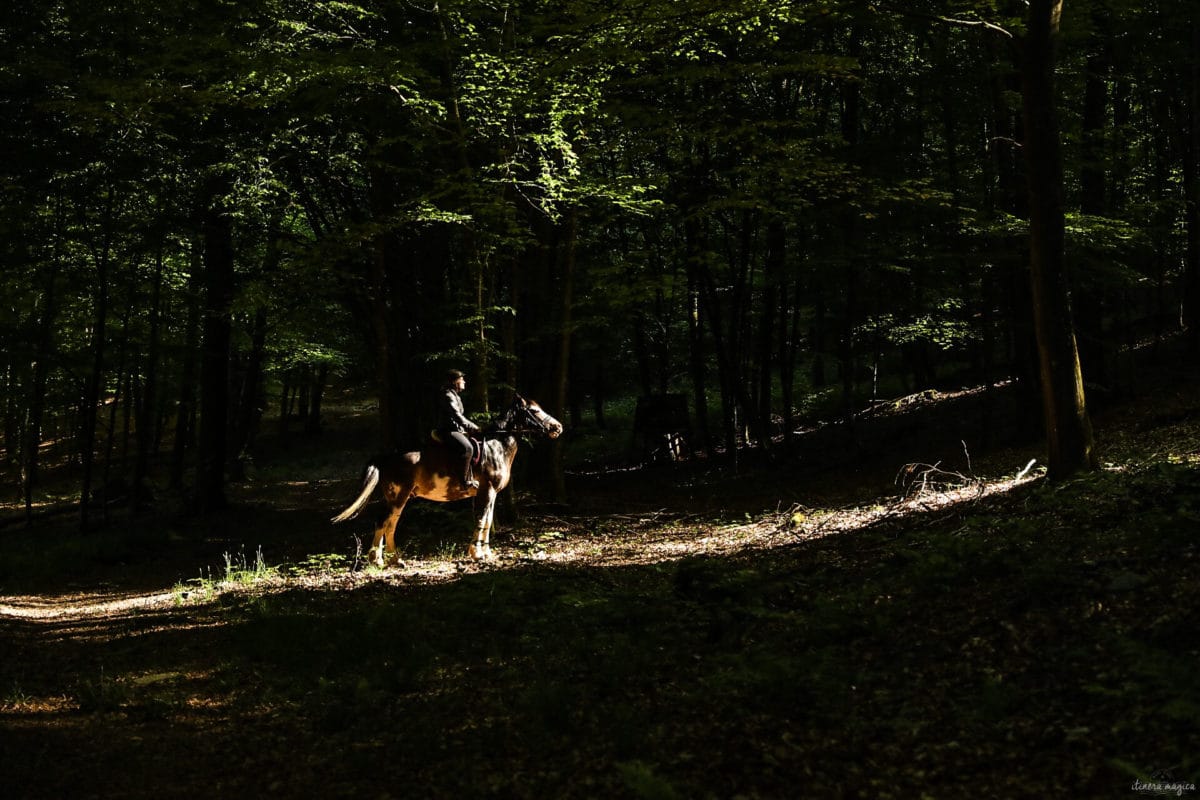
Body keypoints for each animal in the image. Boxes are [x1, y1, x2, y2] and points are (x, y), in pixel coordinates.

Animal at [331, 393, 564, 563]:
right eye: (535, 411)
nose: (558, 427)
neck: (496, 446)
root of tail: (385, 458)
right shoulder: (486, 491)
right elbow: (481, 519)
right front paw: (477, 554)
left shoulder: (492, 494)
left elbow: (488, 521)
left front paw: (487, 553)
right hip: (398, 496)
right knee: (383, 522)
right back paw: (378, 560)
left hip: (399, 498)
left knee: (390, 523)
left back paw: (394, 559)